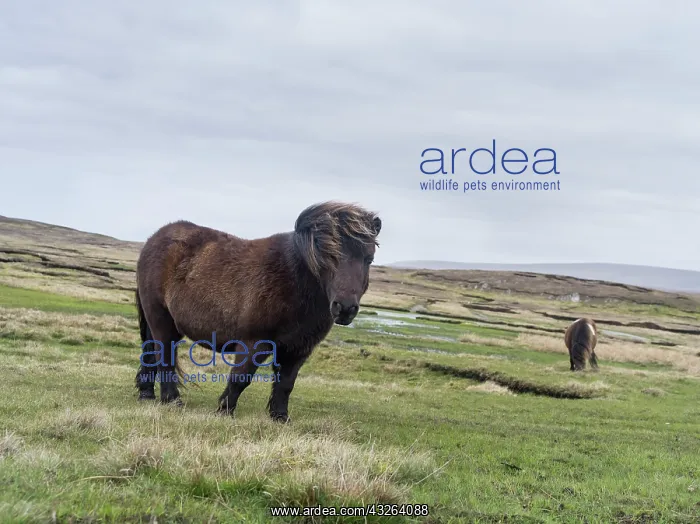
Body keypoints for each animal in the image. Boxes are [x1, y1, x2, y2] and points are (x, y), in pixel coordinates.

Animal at [134, 201, 381, 422]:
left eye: (369, 259)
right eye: (329, 256)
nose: (345, 308)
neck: (295, 280)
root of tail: (153, 240)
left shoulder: (298, 348)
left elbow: (285, 384)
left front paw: (280, 417)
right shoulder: (254, 343)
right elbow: (240, 378)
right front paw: (224, 411)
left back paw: (147, 394)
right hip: (161, 320)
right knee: (165, 357)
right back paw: (172, 400)